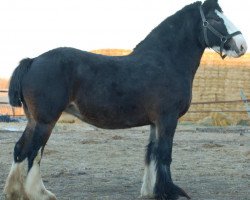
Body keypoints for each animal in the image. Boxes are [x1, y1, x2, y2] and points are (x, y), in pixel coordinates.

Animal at [2, 0, 247, 199]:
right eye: (215, 18)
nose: (242, 45)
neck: (165, 62)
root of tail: (33, 61)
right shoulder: (167, 119)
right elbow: (164, 155)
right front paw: (169, 192)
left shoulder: (155, 122)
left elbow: (151, 154)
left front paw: (150, 191)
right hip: (45, 121)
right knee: (32, 152)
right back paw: (38, 194)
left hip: (35, 121)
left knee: (22, 150)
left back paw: (17, 192)